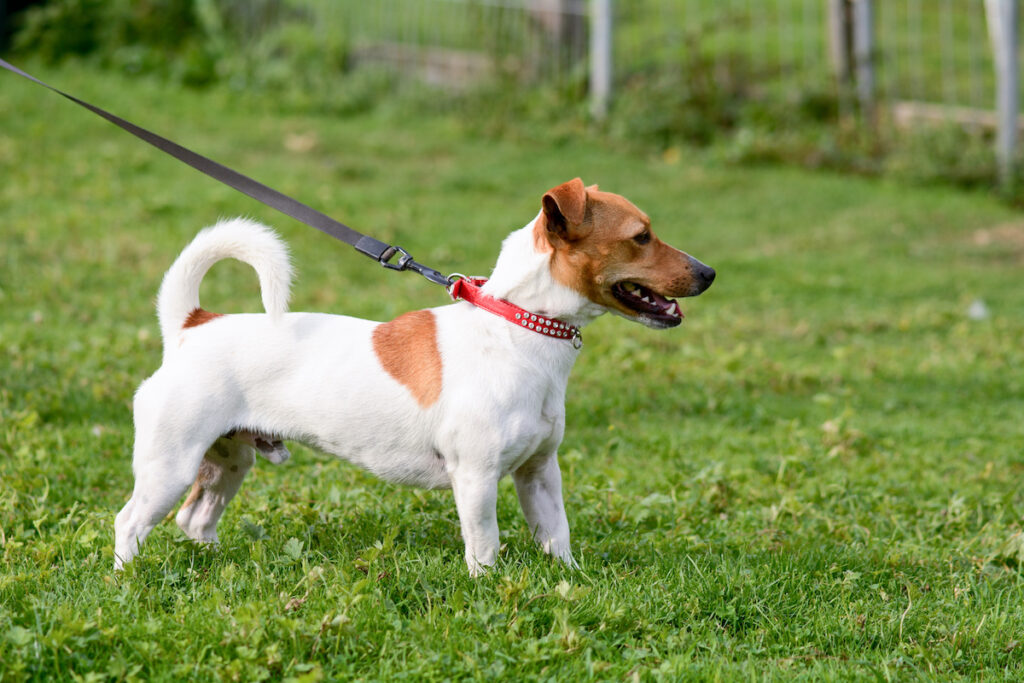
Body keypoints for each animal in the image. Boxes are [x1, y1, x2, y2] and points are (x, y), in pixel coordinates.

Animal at [114, 179, 712, 573]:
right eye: (641, 236)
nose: (709, 272)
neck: (517, 327)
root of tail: (190, 325)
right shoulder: (475, 479)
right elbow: (485, 545)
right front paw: (490, 592)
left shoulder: (540, 473)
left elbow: (557, 537)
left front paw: (570, 583)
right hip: (170, 464)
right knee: (129, 522)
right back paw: (128, 582)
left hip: (229, 460)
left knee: (195, 520)